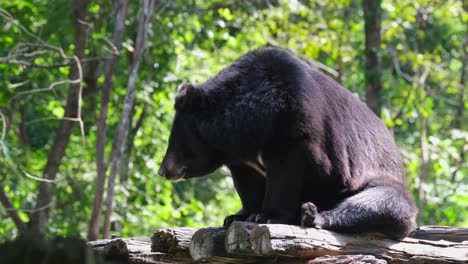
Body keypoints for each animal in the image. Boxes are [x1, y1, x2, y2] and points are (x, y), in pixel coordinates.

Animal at [158, 47, 416, 239]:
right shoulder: (241, 158)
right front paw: (239, 215)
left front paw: (267, 216)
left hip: (374, 180)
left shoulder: (295, 128)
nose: (163, 170)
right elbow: (247, 184)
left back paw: (312, 215)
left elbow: (286, 174)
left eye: (176, 142)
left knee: (382, 203)